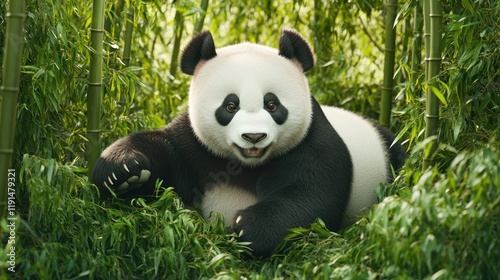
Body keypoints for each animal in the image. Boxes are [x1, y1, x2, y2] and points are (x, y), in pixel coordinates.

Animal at [93, 29, 406, 258]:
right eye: (230, 105)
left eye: (272, 104)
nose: (253, 137)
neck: (244, 164)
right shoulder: (195, 144)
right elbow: (167, 158)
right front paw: (124, 170)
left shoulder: (312, 142)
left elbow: (310, 197)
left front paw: (247, 227)